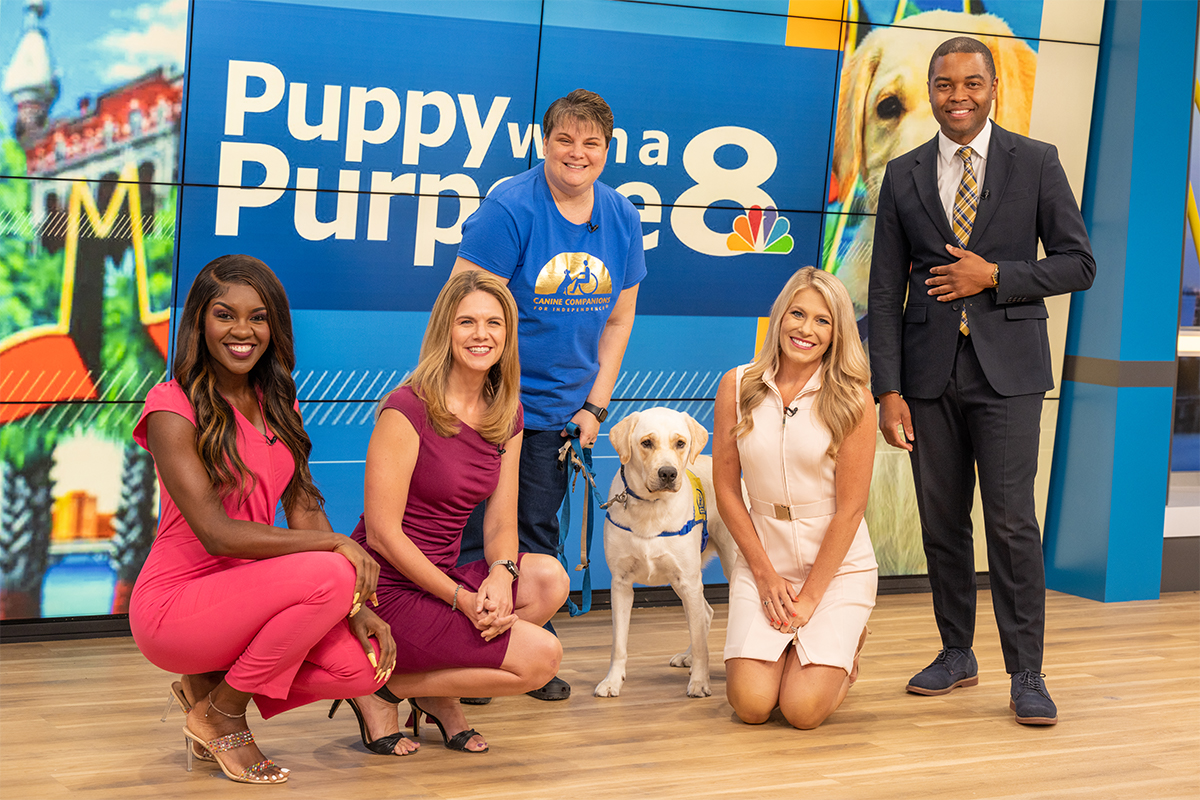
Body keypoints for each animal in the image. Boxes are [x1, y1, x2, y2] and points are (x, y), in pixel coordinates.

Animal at [592, 410, 734, 695]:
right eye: (646, 442)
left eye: (680, 443)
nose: (668, 473)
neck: (651, 506)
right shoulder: (621, 584)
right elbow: (618, 643)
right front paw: (612, 681)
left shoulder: (689, 580)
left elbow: (700, 642)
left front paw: (699, 682)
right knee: (705, 614)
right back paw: (688, 656)